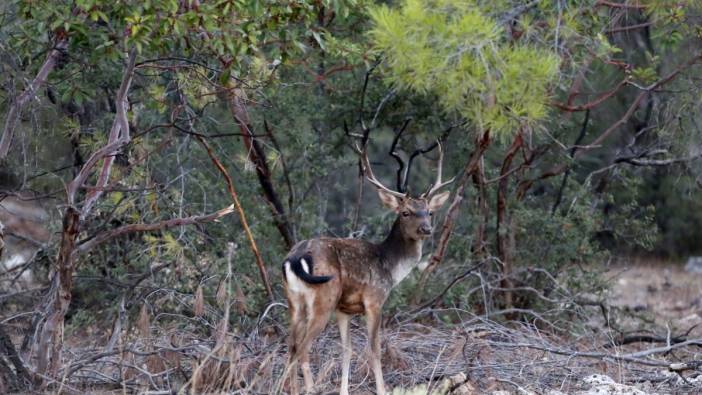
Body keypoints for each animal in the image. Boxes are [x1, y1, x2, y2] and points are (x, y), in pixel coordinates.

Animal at [282, 127, 454, 395]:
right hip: (323, 297)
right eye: (405, 212)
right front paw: (382, 389)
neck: (391, 268)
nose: (426, 228)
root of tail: (296, 257)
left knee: (290, 346)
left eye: (429, 211)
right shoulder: (374, 300)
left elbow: (347, 351)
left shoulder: (344, 310)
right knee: (302, 347)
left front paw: (344, 390)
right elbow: (374, 351)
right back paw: (309, 388)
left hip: (294, 301)